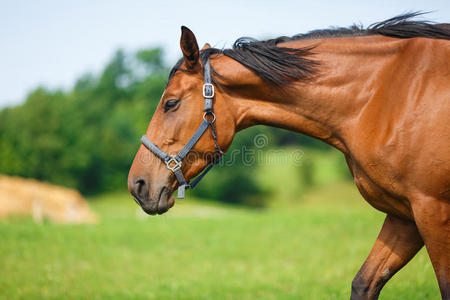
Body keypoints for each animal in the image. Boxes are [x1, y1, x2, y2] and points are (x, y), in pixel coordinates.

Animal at [127, 14, 450, 300]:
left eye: (171, 103)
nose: (137, 185)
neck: (389, 96)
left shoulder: (432, 210)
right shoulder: (404, 215)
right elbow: (364, 284)